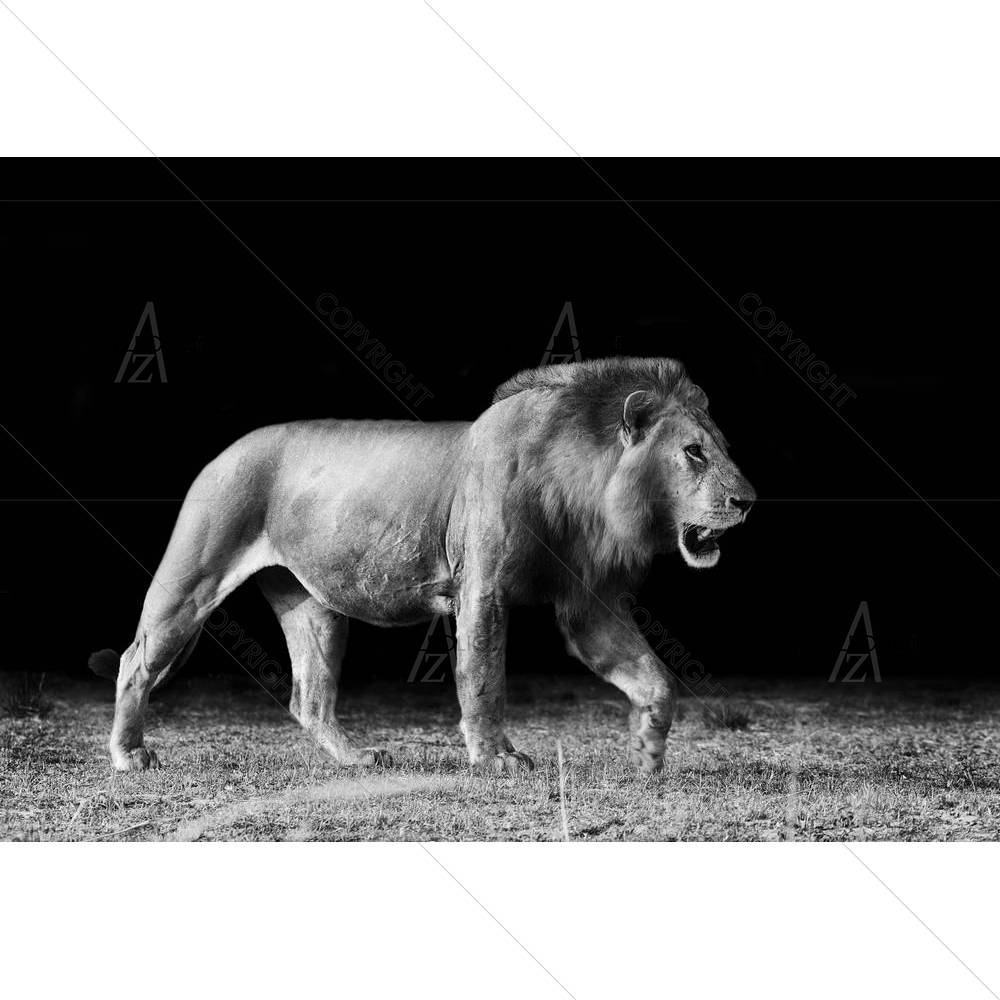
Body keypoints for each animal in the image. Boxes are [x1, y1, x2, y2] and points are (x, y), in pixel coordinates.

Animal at [90, 357, 755, 774]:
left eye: (721, 447)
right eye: (693, 453)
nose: (748, 501)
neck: (586, 487)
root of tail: (223, 452)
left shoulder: (588, 604)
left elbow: (656, 679)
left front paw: (647, 750)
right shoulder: (482, 586)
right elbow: (483, 676)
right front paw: (496, 758)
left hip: (315, 607)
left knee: (309, 699)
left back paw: (358, 758)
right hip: (191, 578)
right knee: (135, 661)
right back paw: (130, 756)